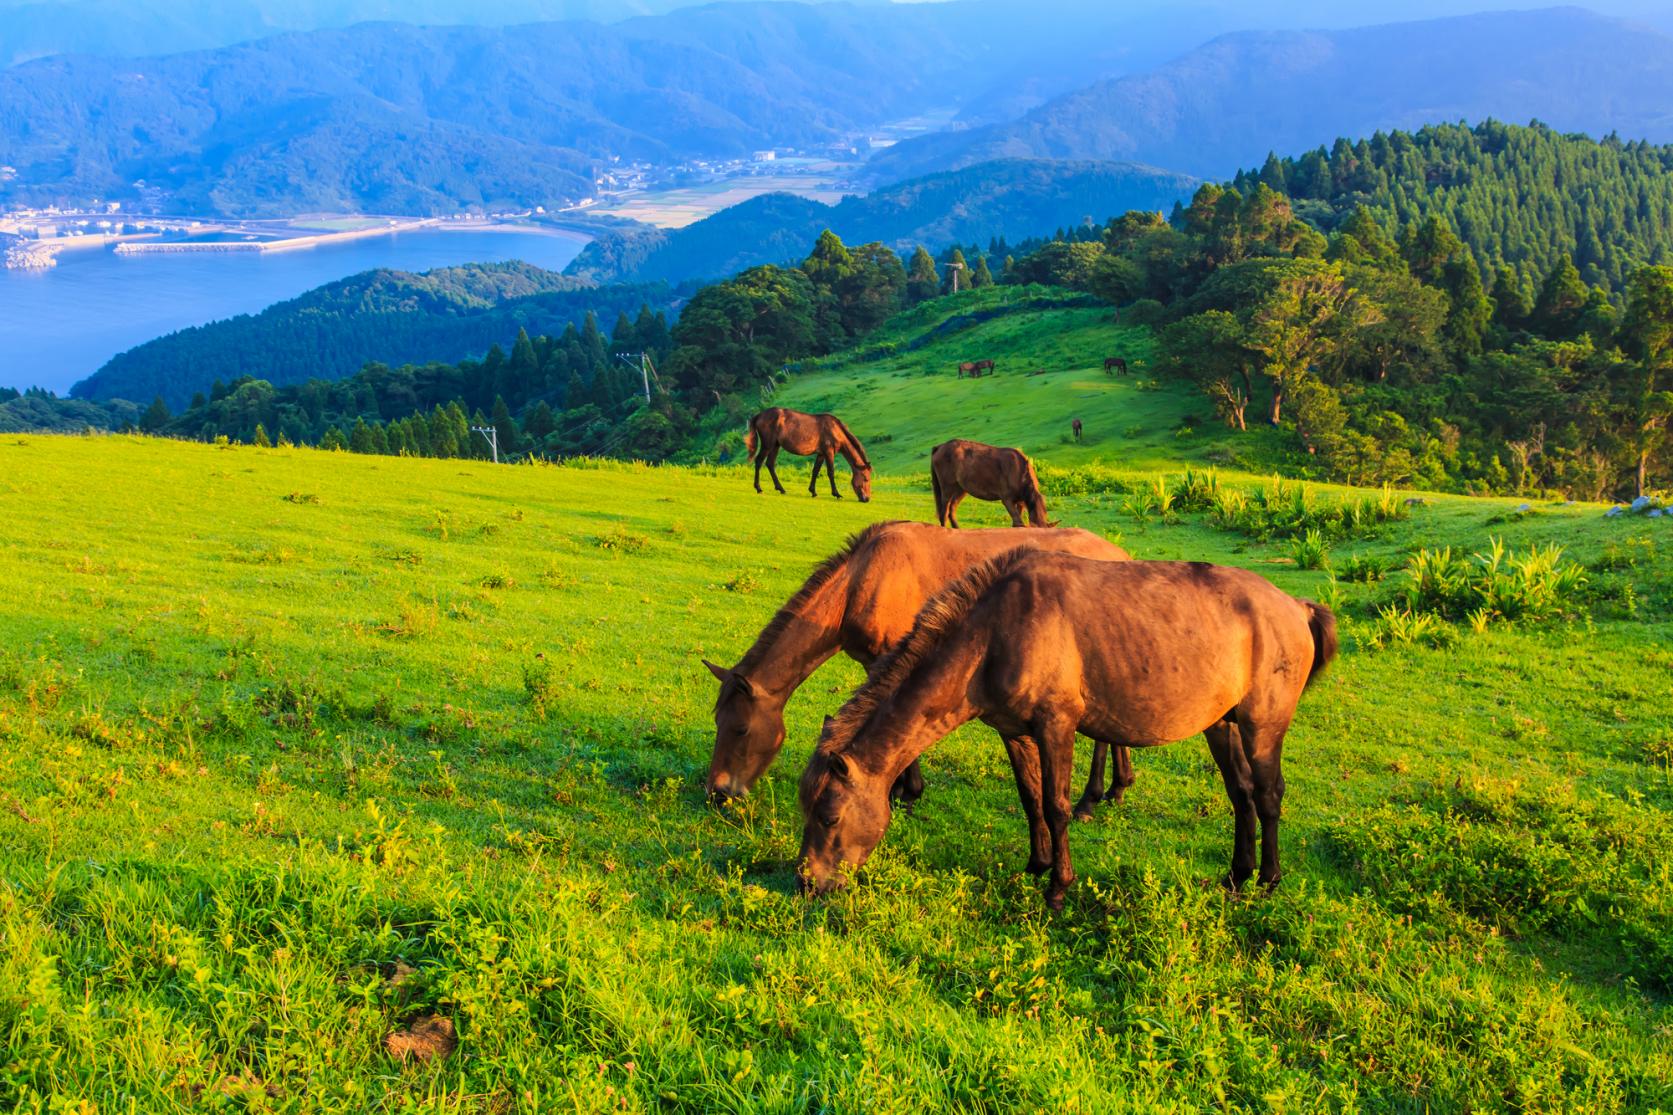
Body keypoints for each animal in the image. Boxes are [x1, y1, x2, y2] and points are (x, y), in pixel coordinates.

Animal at [699, 522, 1130, 806]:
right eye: (718, 722)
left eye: (740, 729)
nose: (718, 792)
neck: (862, 580)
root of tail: (1119, 555)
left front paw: (905, 791)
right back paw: (1112, 788)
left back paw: (1094, 796)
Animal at [796, 552, 1331, 910]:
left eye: (829, 818)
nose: (805, 882)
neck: (995, 632)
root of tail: (1296, 605)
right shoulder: (1016, 731)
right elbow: (1030, 796)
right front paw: (1037, 864)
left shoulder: (1057, 725)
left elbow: (1056, 806)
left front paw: (1058, 885)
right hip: (1221, 725)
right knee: (1240, 794)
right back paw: (1237, 875)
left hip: (1263, 725)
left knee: (1267, 794)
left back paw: (1268, 878)